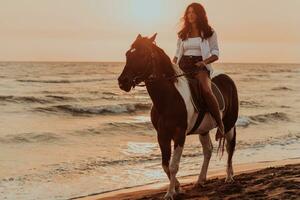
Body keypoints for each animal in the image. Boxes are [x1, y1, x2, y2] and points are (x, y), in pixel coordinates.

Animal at [117, 33, 239, 199]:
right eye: (127, 54)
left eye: (142, 55)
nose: (122, 82)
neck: (169, 98)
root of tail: (228, 79)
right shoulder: (162, 135)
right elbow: (165, 165)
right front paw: (178, 187)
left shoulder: (179, 134)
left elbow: (174, 165)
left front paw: (169, 193)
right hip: (204, 130)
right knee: (208, 150)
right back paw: (201, 180)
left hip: (229, 124)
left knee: (229, 146)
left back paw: (229, 176)